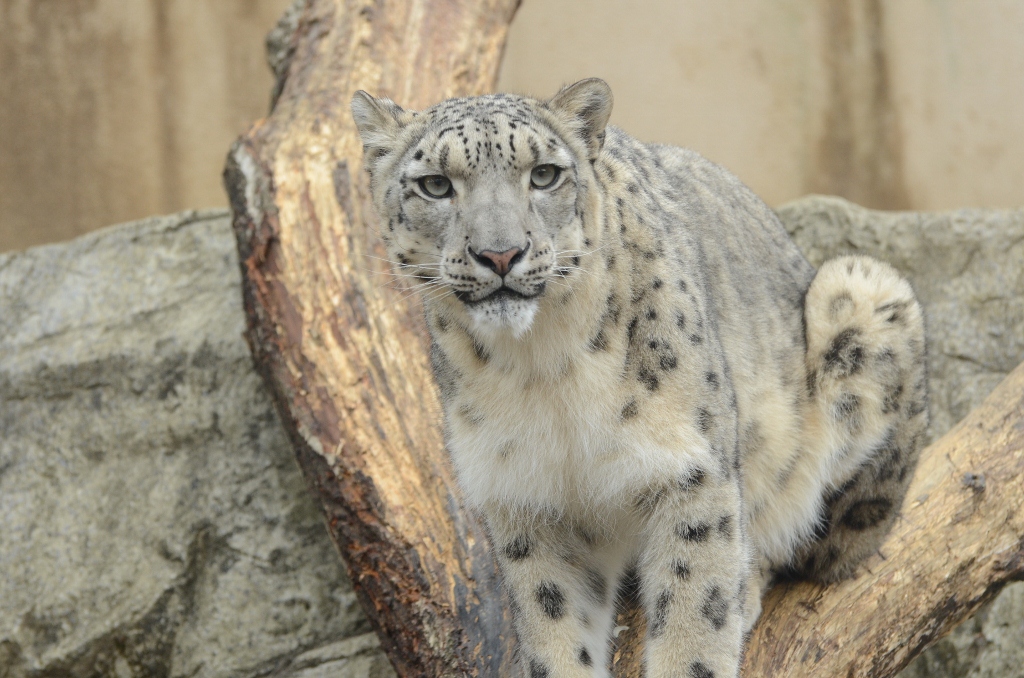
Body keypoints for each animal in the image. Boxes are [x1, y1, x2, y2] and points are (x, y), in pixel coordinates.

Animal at [350, 80, 929, 678]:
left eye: (544, 174)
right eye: (435, 185)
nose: (500, 254)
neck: (542, 368)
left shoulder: (690, 468)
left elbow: (696, 610)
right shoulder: (524, 498)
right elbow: (554, 621)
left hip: (861, 296)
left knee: (818, 546)